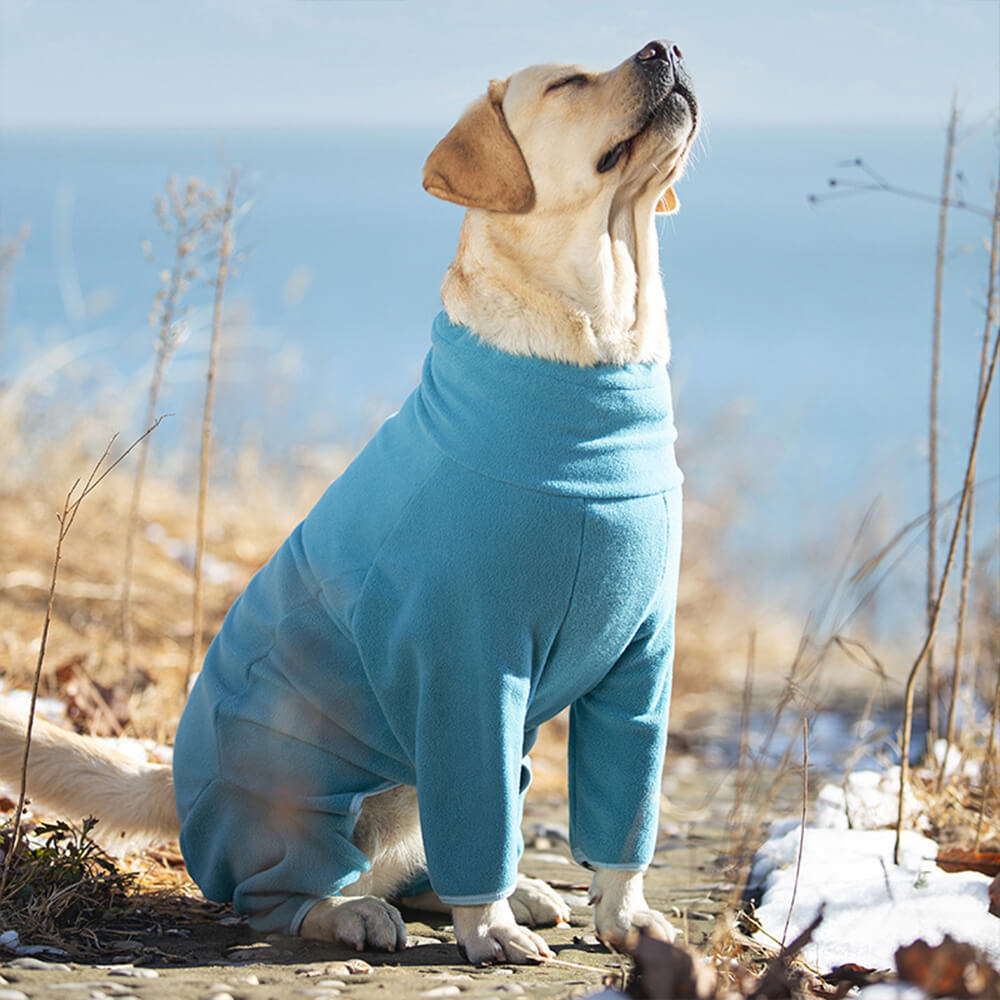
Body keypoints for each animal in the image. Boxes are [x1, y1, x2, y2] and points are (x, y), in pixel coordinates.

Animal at [0, 41, 700, 968]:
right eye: (565, 83)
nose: (668, 47)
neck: (592, 363)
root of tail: (174, 779)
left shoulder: (639, 666)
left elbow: (623, 825)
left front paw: (626, 921)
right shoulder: (465, 666)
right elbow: (477, 820)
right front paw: (490, 932)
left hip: (477, 764)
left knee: (425, 859)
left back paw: (514, 891)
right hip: (303, 785)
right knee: (274, 899)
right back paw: (355, 913)